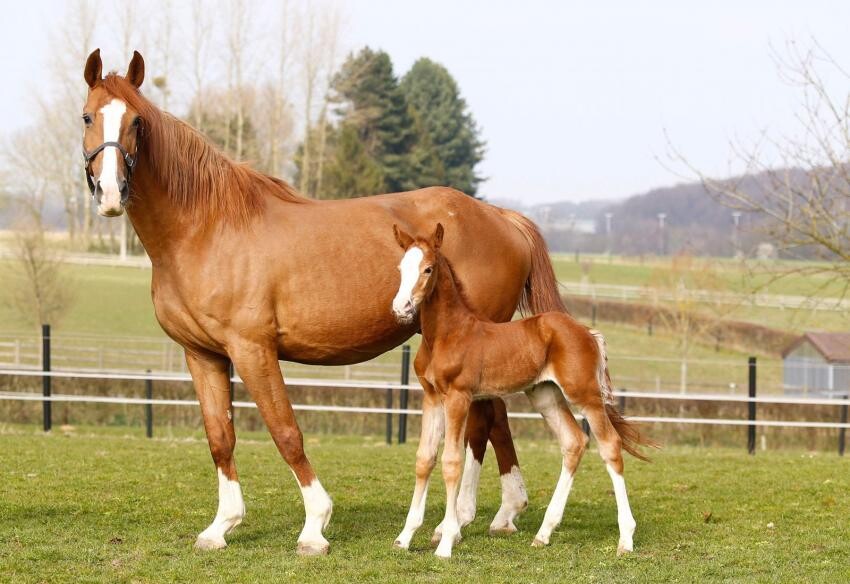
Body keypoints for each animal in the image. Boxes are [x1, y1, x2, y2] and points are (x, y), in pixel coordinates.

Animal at [80, 50, 568, 555]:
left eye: (137, 121)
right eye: (87, 116)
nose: (111, 192)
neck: (207, 228)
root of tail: (501, 217)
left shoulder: (253, 350)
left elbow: (285, 431)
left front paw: (315, 525)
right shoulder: (202, 354)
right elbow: (220, 437)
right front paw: (221, 526)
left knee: (484, 422)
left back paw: (473, 517)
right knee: (491, 421)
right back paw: (490, 515)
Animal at [390, 223, 652, 558]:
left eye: (428, 268)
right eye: (401, 268)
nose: (401, 308)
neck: (448, 334)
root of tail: (587, 332)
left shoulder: (459, 397)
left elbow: (451, 463)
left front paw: (446, 542)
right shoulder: (432, 397)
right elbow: (424, 460)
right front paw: (404, 538)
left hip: (585, 395)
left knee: (610, 446)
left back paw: (626, 539)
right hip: (545, 395)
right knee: (574, 442)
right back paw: (543, 533)